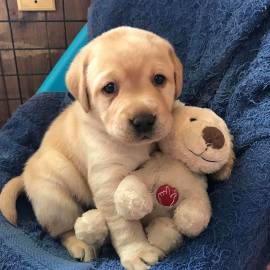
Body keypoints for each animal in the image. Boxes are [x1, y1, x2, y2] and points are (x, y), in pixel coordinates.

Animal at [0, 26, 184, 268]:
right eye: (109, 88)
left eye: (159, 79)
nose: (143, 120)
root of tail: (24, 176)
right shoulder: (108, 180)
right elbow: (125, 225)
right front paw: (137, 251)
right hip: (56, 198)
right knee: (63, 231)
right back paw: (80, 245)